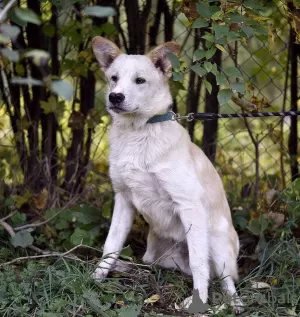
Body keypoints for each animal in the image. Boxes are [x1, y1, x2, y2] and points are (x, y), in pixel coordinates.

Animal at [91, 36, 244, 312]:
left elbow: (198, 263)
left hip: (217, 243)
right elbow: (111, 245)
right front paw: (97, 278)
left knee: (225, 280)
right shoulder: (123, 199)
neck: (139, 132)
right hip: (154, 255)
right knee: (152, 266)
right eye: (113, 78)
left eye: (140, 80)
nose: (115, 97)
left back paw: (232, 304)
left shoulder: (189, 205)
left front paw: (198, 301)